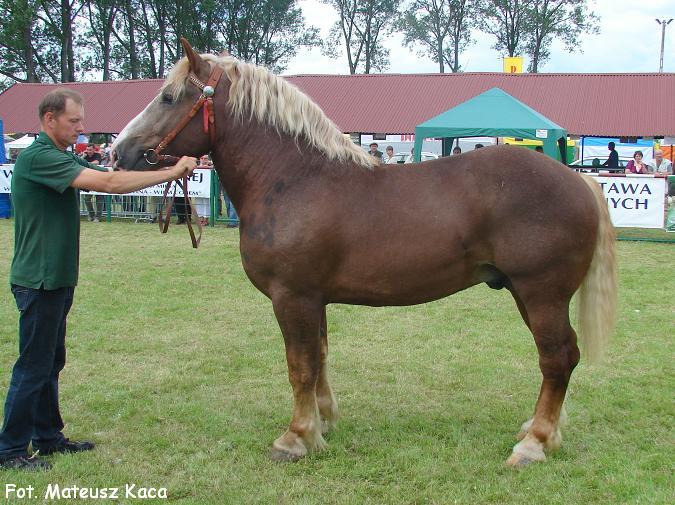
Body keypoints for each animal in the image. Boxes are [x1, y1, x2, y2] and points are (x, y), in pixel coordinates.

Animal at [112, 40, 616, 468]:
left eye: (168, 97)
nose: (119, 153)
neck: (293, 179)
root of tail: (578, 180)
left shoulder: (292, 296)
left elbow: (299, 366)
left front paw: (295, 438)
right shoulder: (313, 298)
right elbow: (318, 358)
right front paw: (323, 423)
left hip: (541, 293)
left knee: (557, 358)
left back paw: (534, 444)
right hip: (524, 293)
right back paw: (537, 430)